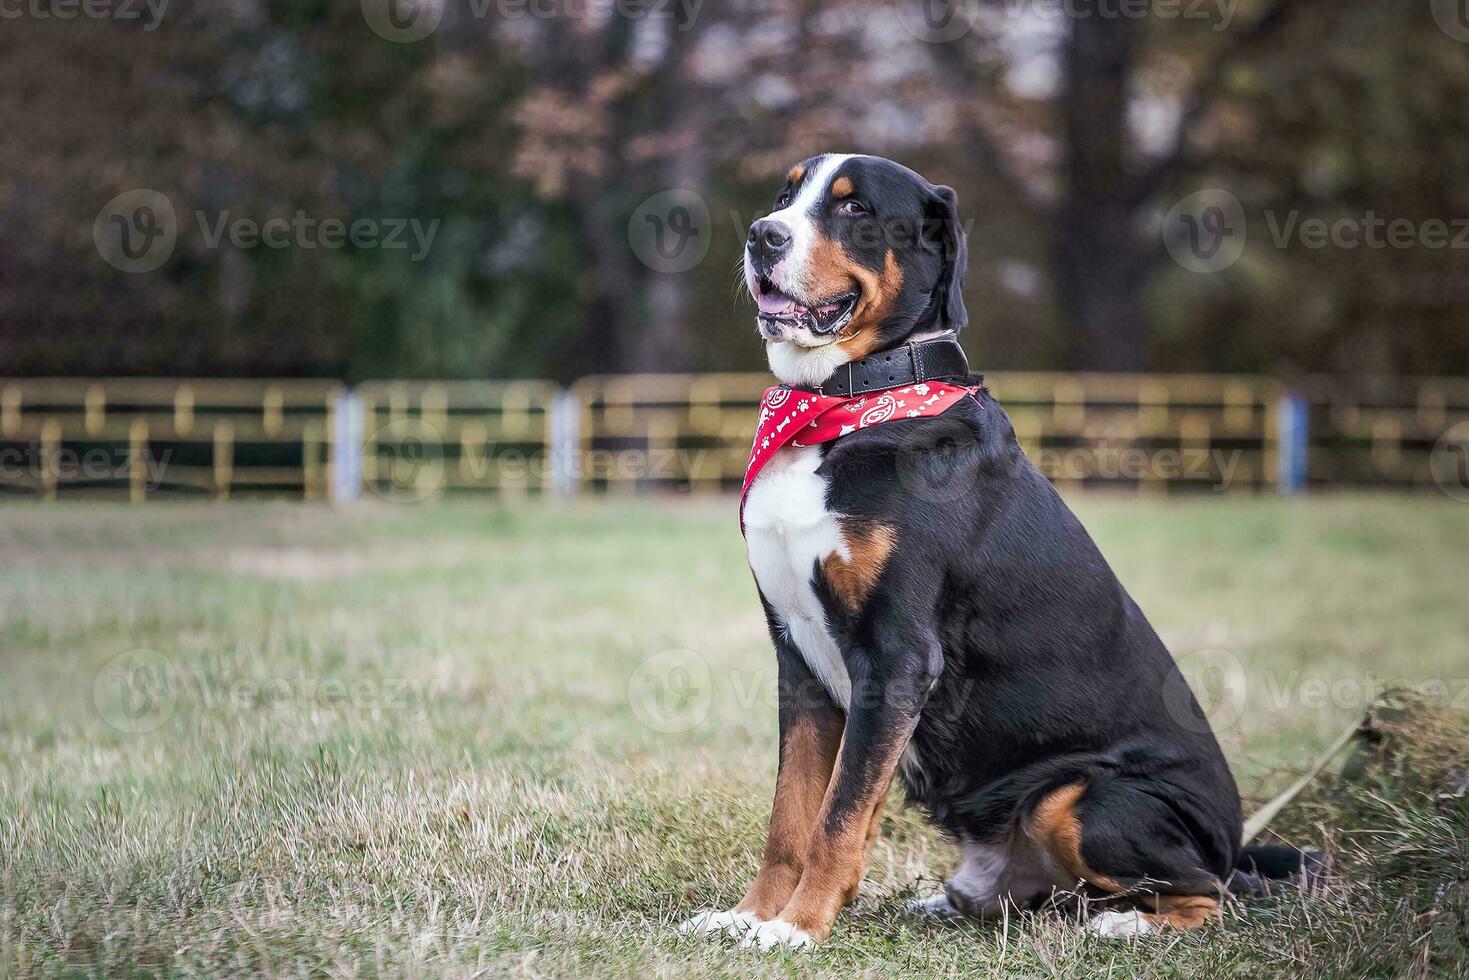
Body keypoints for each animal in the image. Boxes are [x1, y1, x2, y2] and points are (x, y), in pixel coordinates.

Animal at [681, 153, 1316, 952]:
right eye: (784, 195)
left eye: (854, 209)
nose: (763, 235)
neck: (845, 407)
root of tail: (1232, 842)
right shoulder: (798, 657)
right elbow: (789, 817)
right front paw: (749, 916)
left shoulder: (896, 656)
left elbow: (836, 820)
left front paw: (795, 929)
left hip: (1080, 797)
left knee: (1210, 893)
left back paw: (1122, 923)